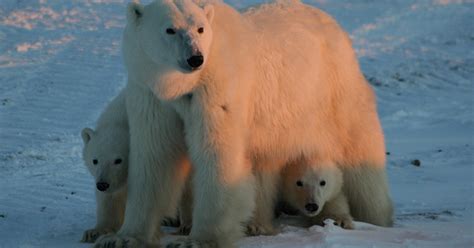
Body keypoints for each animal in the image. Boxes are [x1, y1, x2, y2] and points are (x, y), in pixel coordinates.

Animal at [95, 0, 392, 247]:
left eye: (200, 28)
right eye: (170, 29)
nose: (195, 58)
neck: (183, 86)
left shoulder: (218, 90)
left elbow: (217, 154)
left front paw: (198, 240)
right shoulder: (152, 94)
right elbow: (155, 156)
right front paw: (123, 237)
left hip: (333, 89)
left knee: (358, 149)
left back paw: (373, 217)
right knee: (265, 163)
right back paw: (258, 223)